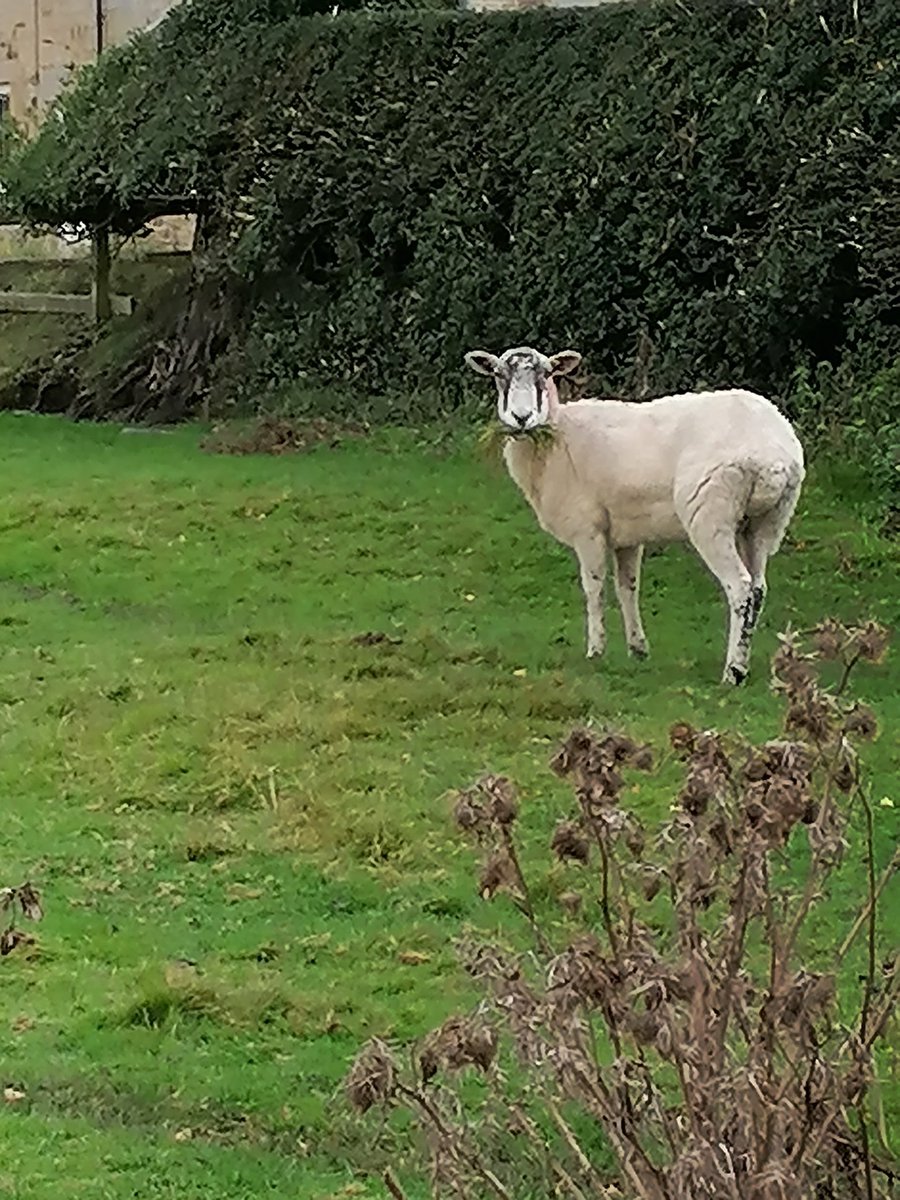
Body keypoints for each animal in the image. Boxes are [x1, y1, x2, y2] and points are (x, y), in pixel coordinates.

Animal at [464, 345, 805, 684]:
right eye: (498, 375)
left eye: (546, 374)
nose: (521, 418)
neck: (556, 440)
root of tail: (773, 455)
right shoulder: (626, 533)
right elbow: (628, 587)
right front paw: (638, 648)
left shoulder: (587, 527)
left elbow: (594, 587)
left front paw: (596, 650)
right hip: (766, 521)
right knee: (758, 589)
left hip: (711, 514)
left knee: (741, 588)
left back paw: (733, 671)